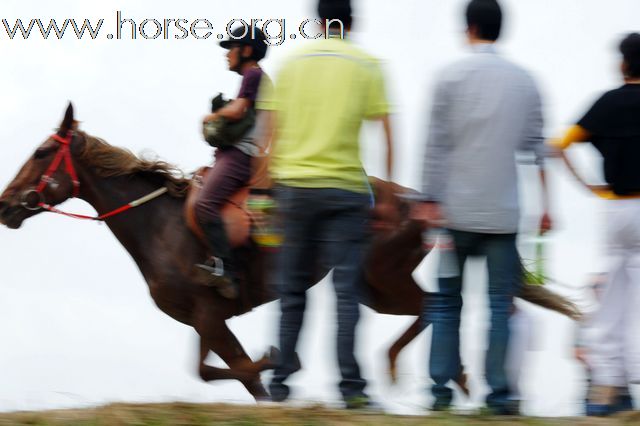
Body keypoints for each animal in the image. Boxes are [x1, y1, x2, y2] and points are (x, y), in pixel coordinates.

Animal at [0, 105, 576, 400]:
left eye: (43, 151)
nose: (6, 204)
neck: (159, 224)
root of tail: (415, 199)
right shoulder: (203, 317)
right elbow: (211, 371)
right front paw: (274, 358)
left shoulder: (209, 315)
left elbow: (241, 373)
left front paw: (276, 362)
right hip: (378, 285)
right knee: (433, 306)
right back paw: (448, 374)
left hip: (379, 278)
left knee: (435, 306)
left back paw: (408, 368)